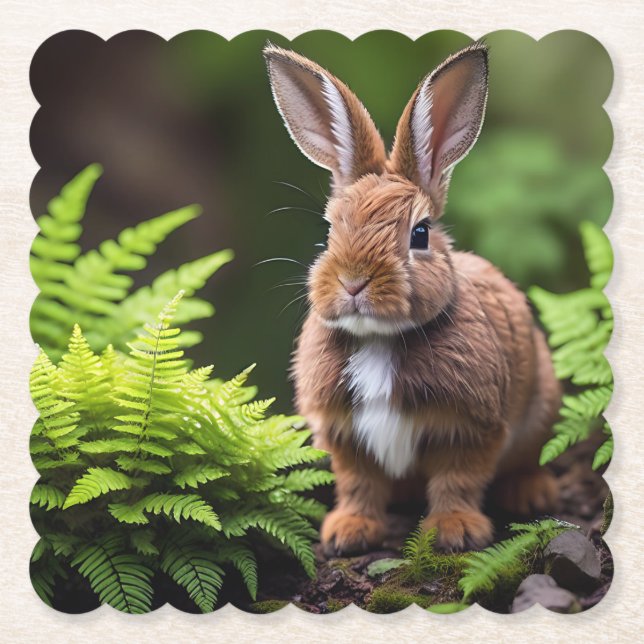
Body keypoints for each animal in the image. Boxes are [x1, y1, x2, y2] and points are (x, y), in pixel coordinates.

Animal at [263, 42, 561, 554]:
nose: (353, 282)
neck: (379, 339)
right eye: (330, 231)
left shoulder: (471, 428)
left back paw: (532, 494)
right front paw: (348, 532)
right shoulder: (345, 434)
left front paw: (455, 531)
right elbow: (359, 483)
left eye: (419, 234)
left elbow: (456, 480)